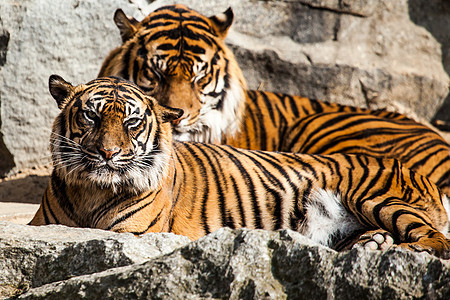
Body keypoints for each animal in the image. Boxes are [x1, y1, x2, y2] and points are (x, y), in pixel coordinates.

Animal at [29, 75, 450, 258]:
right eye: (91, 116)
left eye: (131, 122)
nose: (108, 153)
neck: (90, 190)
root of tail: (420, 174)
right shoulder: (42, 224)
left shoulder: (133, 233)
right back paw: (370, 244)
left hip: (373, 196)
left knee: (437, 240)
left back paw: (404, 251)